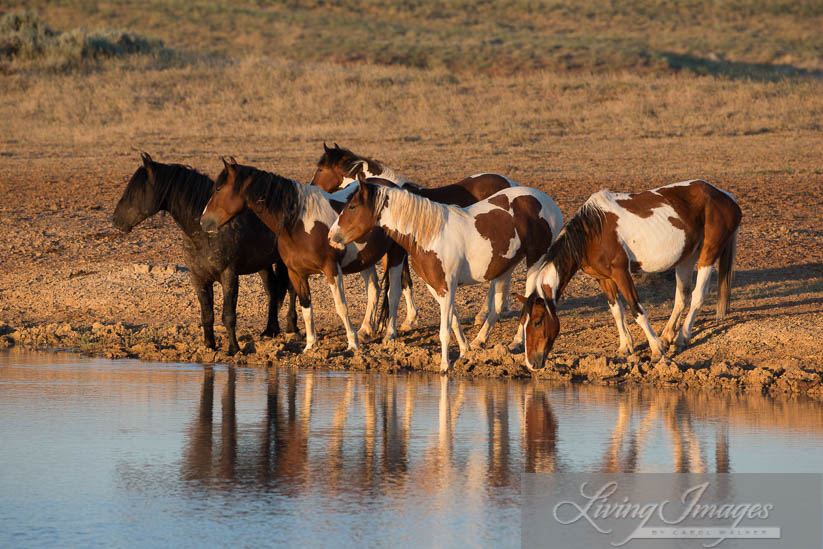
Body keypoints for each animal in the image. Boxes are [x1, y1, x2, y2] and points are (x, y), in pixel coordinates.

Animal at [112, 152, 296, 354]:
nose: (116, 220)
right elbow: (207, 315)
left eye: (137, 191)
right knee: (272, 290)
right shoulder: (198, 278)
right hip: (263, 264)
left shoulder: (229, 276)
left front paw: (234, 349)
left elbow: (228, 315)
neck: (205, 232)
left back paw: (291, 328)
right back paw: (270, 330)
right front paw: (209, 346)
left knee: (292, 290)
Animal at [200, 157, 406, 352]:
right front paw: (310, 345)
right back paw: (366, 330)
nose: (203, 221)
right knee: (374, 289)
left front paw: (352, 344)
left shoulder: (331, 269)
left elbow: (341, 307)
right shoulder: (296, 273)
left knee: (394, 293)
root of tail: (394, 187)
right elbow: (306, 308)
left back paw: (389, 334)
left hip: (396, 255)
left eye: (218, 188)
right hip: (365, 259)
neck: (298, 223)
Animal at [308, 141, 520, 326]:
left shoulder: (399, 253)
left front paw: (408, 320)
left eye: (320, 169)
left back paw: (483, 314)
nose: (312, 186)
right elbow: (405, 282)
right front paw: (409, 319)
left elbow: (402, 282)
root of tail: (511, 183)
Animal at [332, 176, 564, 372]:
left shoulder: (447, 287)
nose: (331, 236)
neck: (429, 235)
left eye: (352, 206)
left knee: (529, 302)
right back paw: (480, 340)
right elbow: (453, 320)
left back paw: (516, 341)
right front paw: (465, 350)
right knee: (498, 306)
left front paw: (445, 366)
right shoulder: (435, 287)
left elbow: (444, 330)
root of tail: (548, 202)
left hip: (536, 261)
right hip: (505, 268)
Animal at [520, 178, 748, 370]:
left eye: (538, 322)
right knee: (682, 297)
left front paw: (656, 350)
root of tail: (725, 196)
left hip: (708, 252)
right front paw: (626, 346)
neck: (592, 233)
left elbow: (636, 310)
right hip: (687, 257)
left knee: (698, 296)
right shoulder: (603, 278)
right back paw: (668, 335)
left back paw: (681, 338)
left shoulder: (621, 273)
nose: (531, 363)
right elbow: (617, 310)